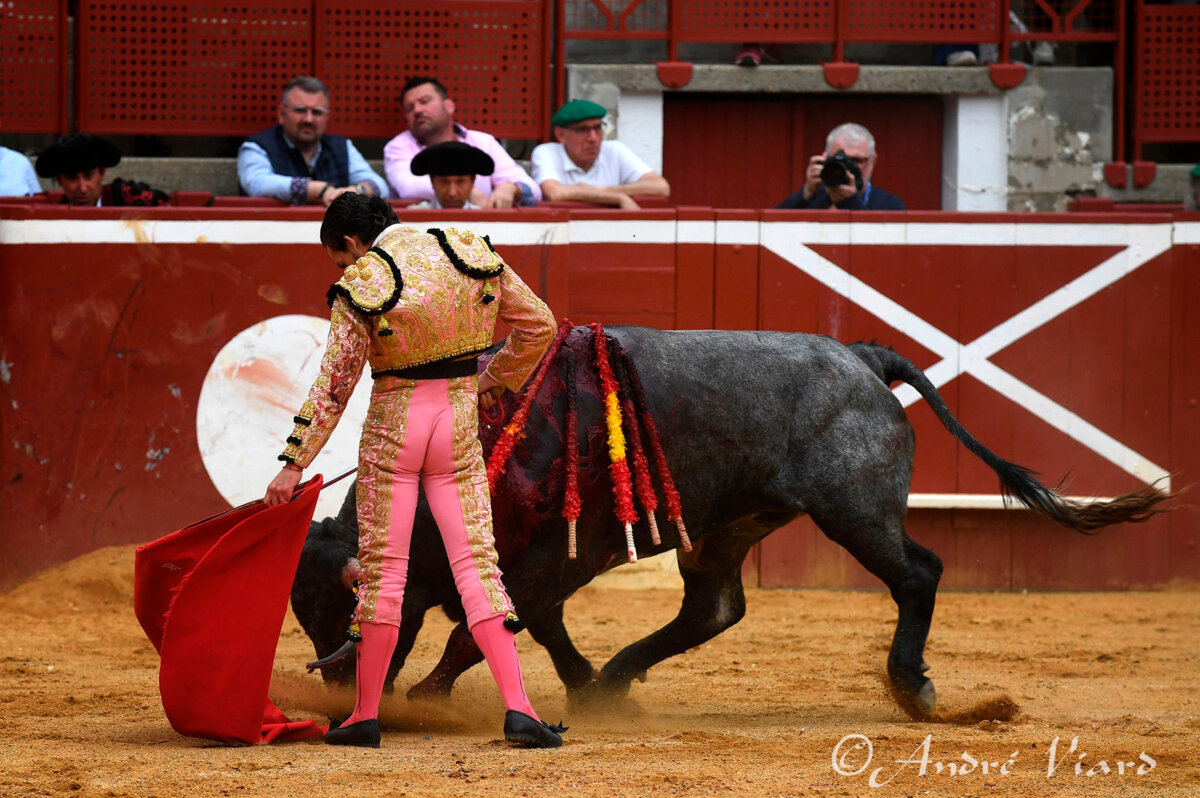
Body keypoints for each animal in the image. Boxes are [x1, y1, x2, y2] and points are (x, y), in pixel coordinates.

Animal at [290, 325, 1168, 721]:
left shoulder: (557, 558)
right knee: (714, 608)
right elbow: (524, 623)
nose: (336, 688)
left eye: (339, 610)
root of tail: (862, 357)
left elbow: (498, 625)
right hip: (730, 526)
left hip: (854, 511)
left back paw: (912, 686)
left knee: (918, 572)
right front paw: (589, 687)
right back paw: (619, 676)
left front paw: (433, 693)